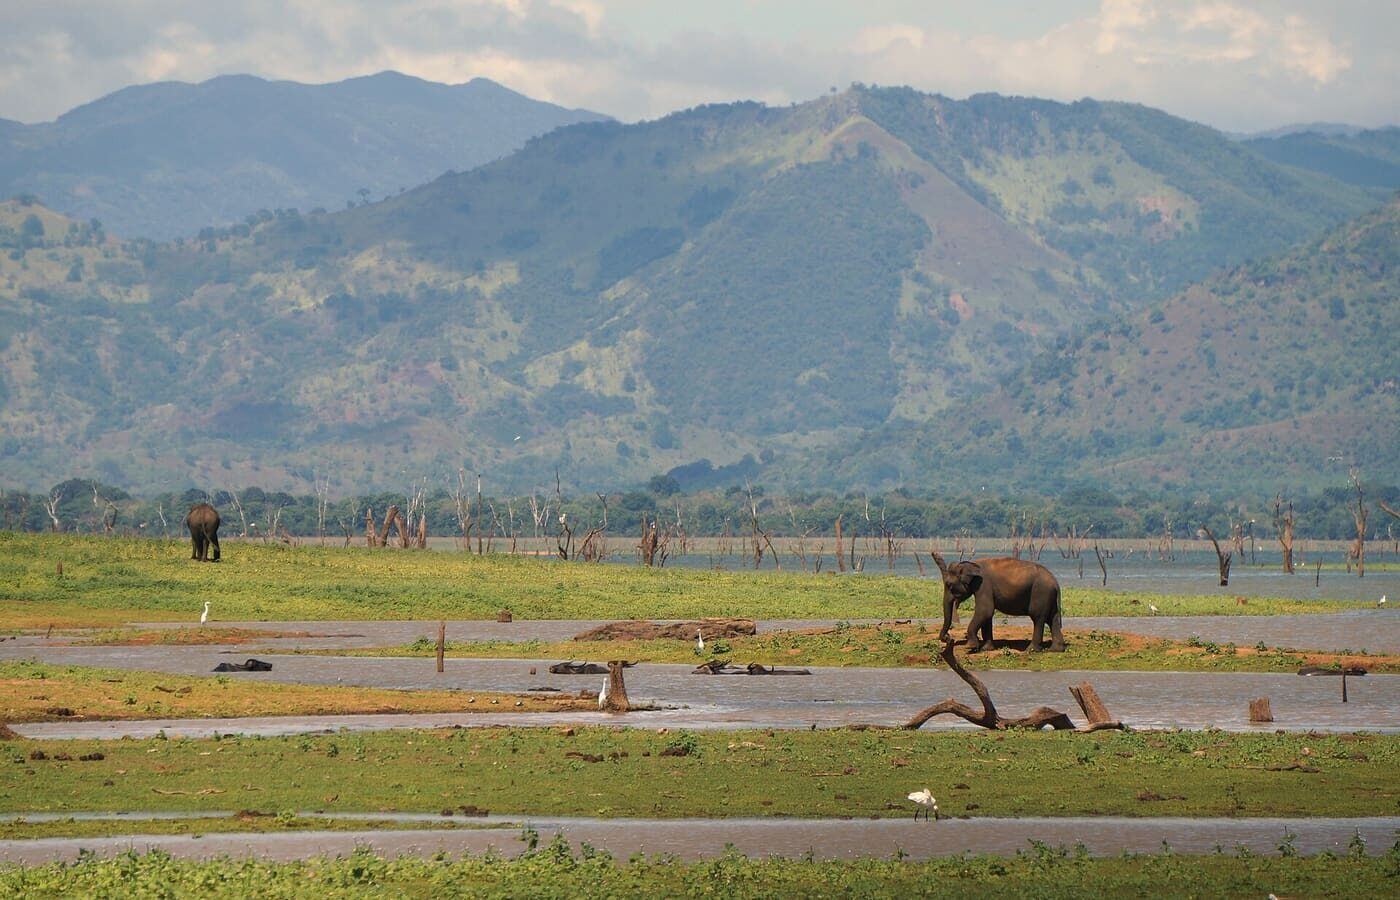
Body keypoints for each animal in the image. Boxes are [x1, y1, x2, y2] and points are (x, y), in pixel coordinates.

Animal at [932, 552, 1064, 653]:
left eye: (949, 585)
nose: (948, 637)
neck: (971, 564)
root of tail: (1056, 582)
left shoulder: (984, 585)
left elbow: (985, 611)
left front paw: (970, 647)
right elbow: (987, 616)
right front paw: (986, 649)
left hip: (1041, 593)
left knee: (1038, 618)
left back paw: (1030, 650)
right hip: (1049, 598)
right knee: (1052, 619)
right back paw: (1055, 650)